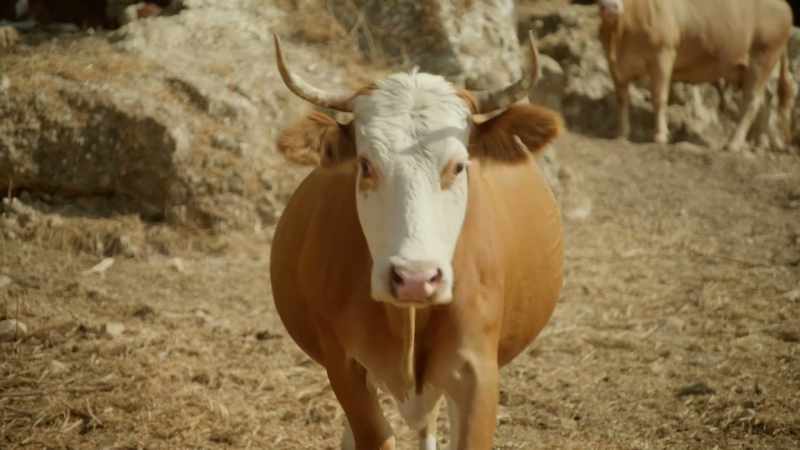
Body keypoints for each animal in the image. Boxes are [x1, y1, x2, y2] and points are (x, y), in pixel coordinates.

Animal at [270, 32, 564, 450]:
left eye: (458, 165)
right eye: (365, 164)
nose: (414, 278)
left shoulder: (477, 372)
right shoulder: (343, 365)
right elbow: (374, 433)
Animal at [598, 0, 795, 150]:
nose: (610, 6)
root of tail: (783, 5)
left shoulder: (663, 54)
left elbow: (659, 98)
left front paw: (660, 136)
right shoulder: (614, 64)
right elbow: (622, 99)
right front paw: (621, 134)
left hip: (762, 59)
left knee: (752, 101)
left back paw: (734, 144)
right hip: (755, 68)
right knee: (766, 99)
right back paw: (760, 143)